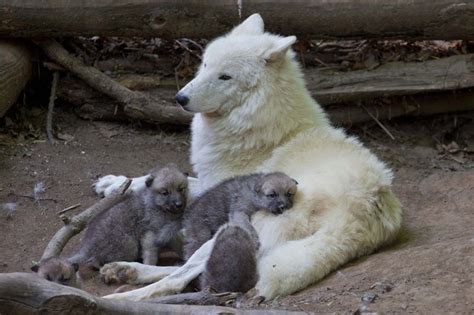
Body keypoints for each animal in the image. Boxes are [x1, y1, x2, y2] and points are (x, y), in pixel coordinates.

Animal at [98, 14, 402, 302]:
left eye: (225, 77)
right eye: (205, 65)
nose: (180, 98)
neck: (262, 124)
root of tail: (363, 211)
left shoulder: (217, 189)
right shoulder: (208, 182)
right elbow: (165, 180)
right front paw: (113, 183)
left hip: (238, 227)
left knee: (179, 277)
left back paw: (124, 296)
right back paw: (124, 270)